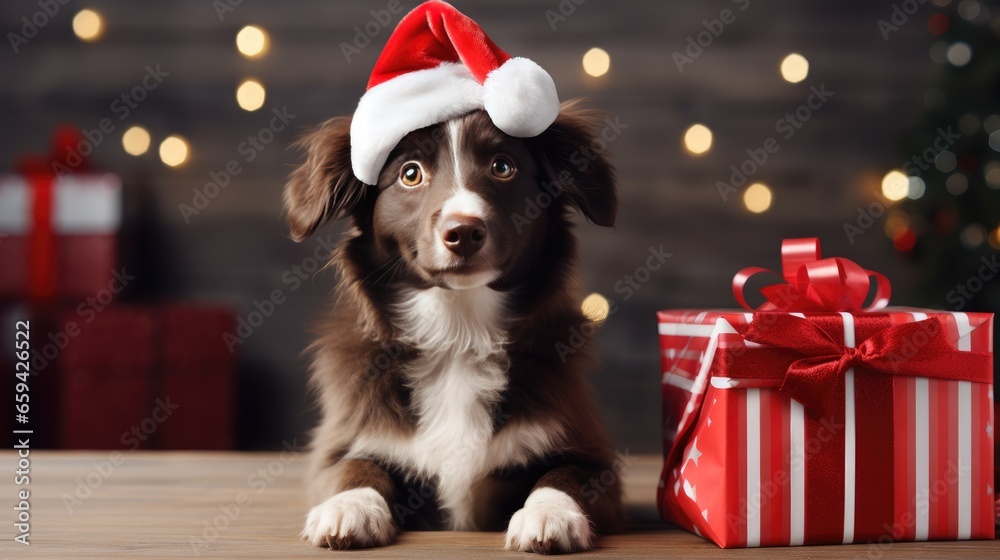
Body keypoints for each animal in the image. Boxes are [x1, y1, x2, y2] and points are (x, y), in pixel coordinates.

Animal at [282, 99, 620, 552]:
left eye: (502, 166)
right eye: (410, 173)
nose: (463, 232)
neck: (458, 334)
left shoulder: (594, 456)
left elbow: (564, 474)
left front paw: (551, 514)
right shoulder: (340, 444)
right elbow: (354, 466)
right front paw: (349, 506)